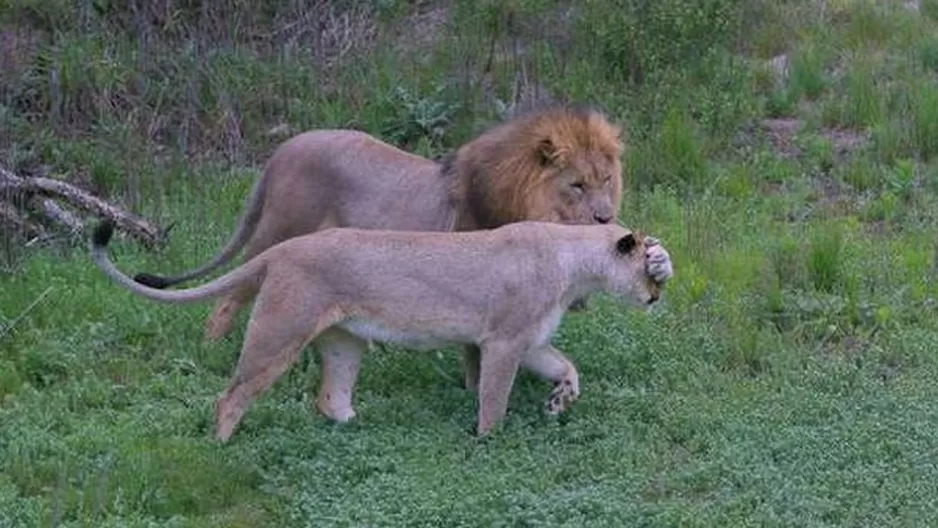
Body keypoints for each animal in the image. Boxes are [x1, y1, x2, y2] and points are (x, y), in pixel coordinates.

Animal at [89, 219, 672, 442]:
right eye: (649, 268)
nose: (656, 296)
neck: (573, 262)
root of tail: (283, 248)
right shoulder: (502, 341)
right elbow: (494, 399)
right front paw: (490, 442)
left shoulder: (527, 340)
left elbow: (568, 368)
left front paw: (558, 403)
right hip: (279, 331)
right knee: (230, 396)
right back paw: (223, 448)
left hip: (344, 342)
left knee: (330, 398)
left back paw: (362, 429)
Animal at [133, 105, 644, 390]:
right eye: (576, 185)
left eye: (606, 179)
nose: (605, 217)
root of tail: (282, 150)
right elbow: (479, 356)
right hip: (277, 231)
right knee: (229, 294)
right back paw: (210, 350)